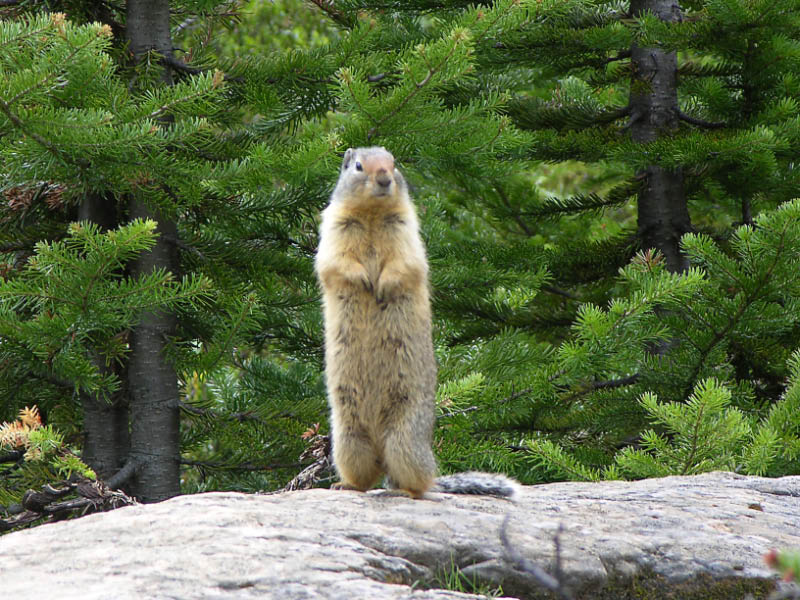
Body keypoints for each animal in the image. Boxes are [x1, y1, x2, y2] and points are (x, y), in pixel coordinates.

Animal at [315, 147, 519, 500]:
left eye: (393, 163)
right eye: (359, 166)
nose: (384, 179)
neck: (372, 214)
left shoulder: (407, 230)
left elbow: (405, 263)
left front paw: (381, 286)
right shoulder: (334, 227)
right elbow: (335, 262)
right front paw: (363, 280)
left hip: (404, 440)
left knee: (418, 483)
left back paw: (402, 491)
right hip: (348, 439)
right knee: (366, 479)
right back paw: (346, 485)